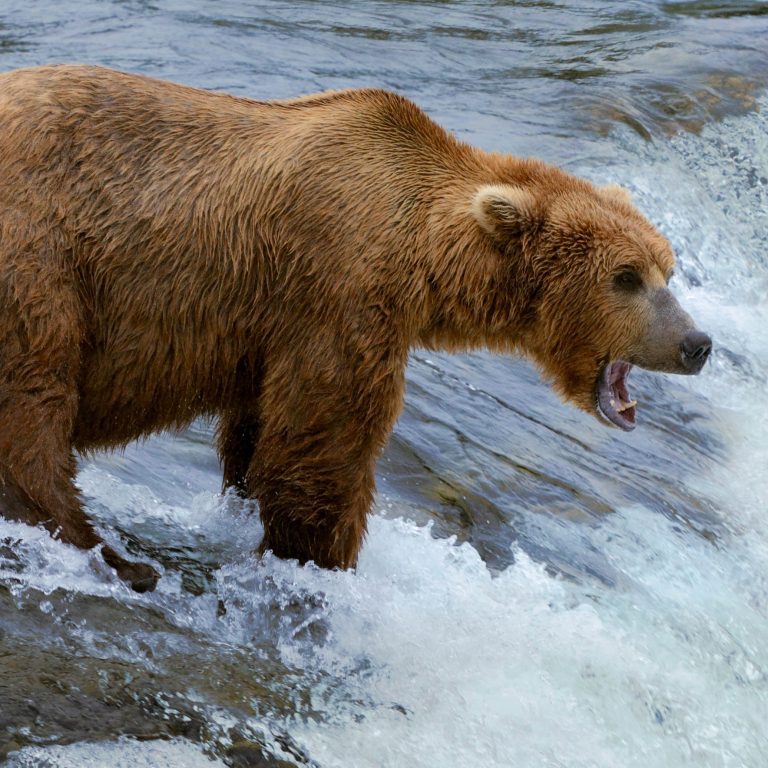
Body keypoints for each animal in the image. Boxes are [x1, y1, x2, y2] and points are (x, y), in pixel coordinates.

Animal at [0, 67, 712, 592]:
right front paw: (323, 558)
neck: (425, 254)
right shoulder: (339, 288)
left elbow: (258, 431)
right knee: (35, 397)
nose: (696, 344)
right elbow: (323, 441)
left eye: (668, 266)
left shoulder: (271, 325)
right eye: (626, 277)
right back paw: (113, 557)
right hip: (42, 257)